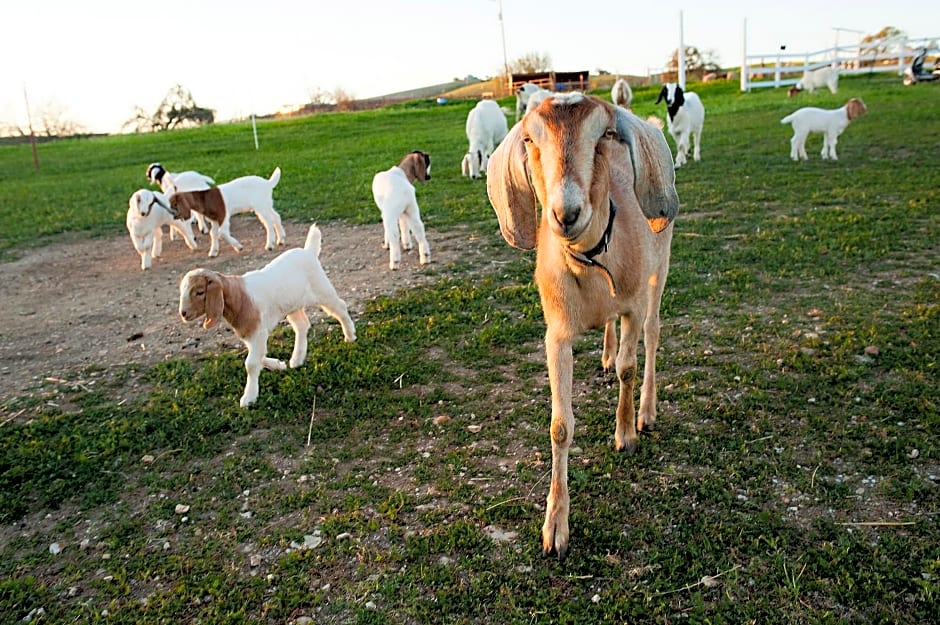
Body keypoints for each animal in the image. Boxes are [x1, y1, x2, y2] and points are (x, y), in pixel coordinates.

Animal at [179, 222, 356, 408]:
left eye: (199, 292)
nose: (183, 314)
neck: (239, 297)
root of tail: (308, 251)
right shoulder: (251, 334)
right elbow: (259, 356)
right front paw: (278, 365)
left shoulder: (257, 332)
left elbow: (251, 363)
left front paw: (249, 398)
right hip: (292, 304)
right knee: (302, 325)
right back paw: (297, 359)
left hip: (321, 289)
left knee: (339, 307)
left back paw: (350, 336)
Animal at [484, 91, 676, 556]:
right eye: (530, 139)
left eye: (605, 133)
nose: (566, 213)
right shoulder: (555, 334)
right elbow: (559, 427)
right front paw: (554, 527)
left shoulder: (632, 305)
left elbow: (629, 367)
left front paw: (625, 434)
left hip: (660, 268)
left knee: (653, 336)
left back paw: (646, 411)